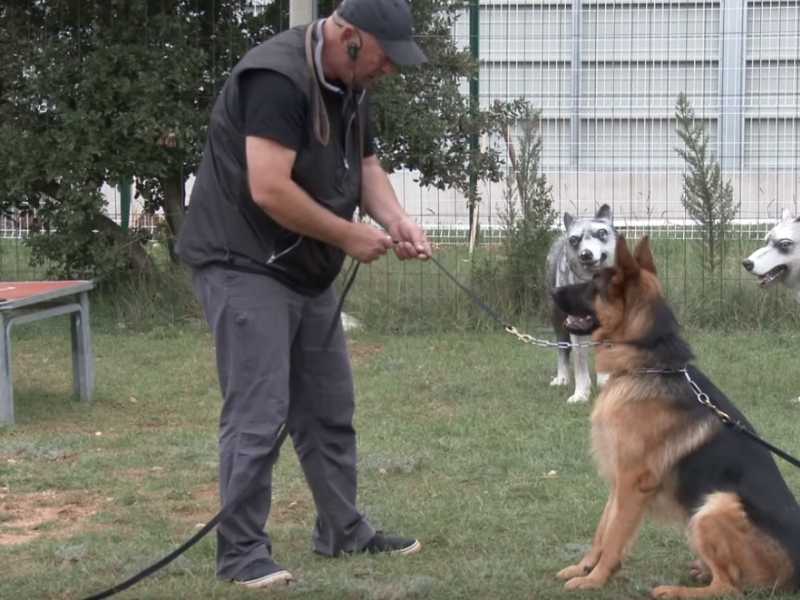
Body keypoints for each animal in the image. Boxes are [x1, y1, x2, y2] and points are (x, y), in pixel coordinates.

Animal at [546, 204, 616, 403]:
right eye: (574, 239)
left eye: (601, 232)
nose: (585, 254)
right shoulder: (574, 325)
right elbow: (579, 362)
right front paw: (581, 394)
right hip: (557, 317)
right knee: (562, 349)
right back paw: (562, 378)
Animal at [551, 235, 800, 598]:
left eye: (593, 285)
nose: (551, 291)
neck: (647, 363)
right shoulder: (618, 481)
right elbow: (603, 529)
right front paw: (585, 568)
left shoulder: (633, 484)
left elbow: (614, 538)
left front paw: (594, 579)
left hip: (714, 506)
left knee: (728, 587)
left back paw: (675, 590)